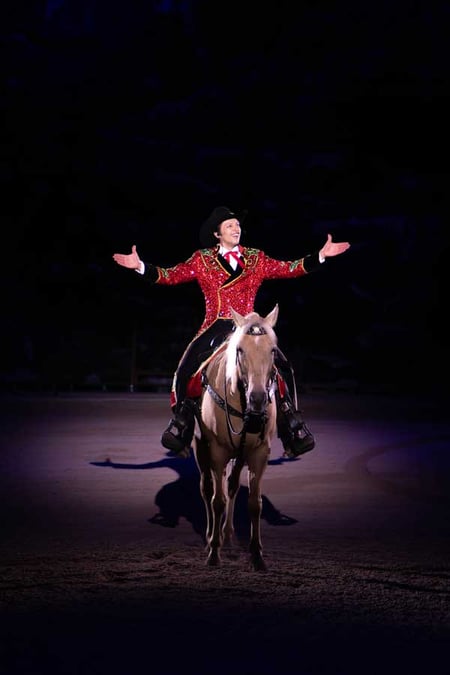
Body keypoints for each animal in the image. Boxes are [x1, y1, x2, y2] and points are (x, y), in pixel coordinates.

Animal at [193, 304, 279, 571]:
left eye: (273, 350)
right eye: (240, 350)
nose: (258, 399)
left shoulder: (259, 453)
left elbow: (254, 503)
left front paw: (257, 555)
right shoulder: (217, 451)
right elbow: (216, 500)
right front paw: (213, 552)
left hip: (239, 455)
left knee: (230, 486)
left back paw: (227, 534)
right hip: (201, 447)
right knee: (207, 489)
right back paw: (211, 536)